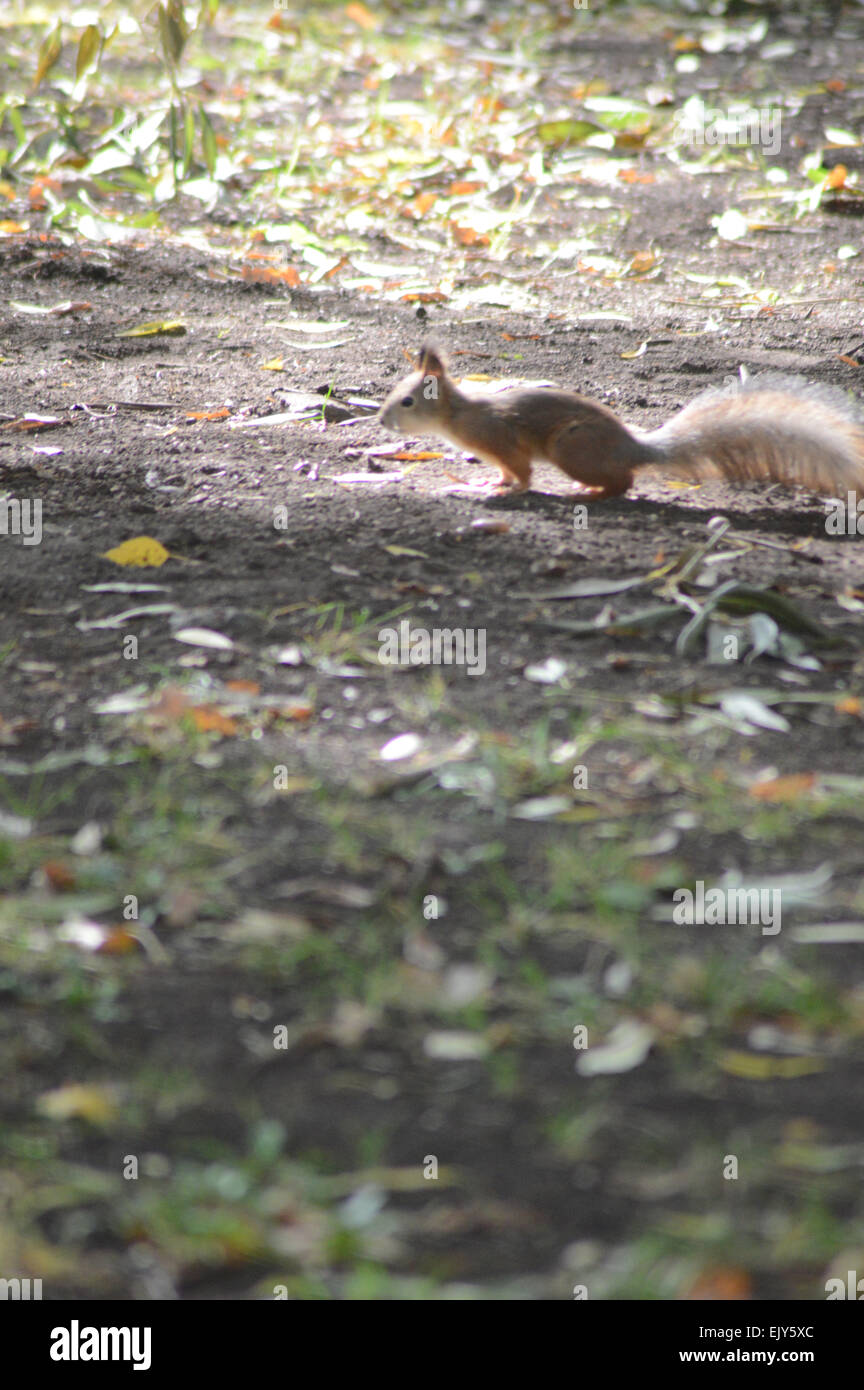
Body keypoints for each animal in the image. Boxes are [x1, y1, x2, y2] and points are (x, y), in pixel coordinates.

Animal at [380, 340, 864, 503]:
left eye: (407, 401)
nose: (383, 421)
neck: (459, 415)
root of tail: (633, 446)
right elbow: (503, 473)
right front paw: (490, 483)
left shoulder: (504, 440)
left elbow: (522, 474)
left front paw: (504, 490)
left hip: (571, 449)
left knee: (624, 482)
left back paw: (591, 493)